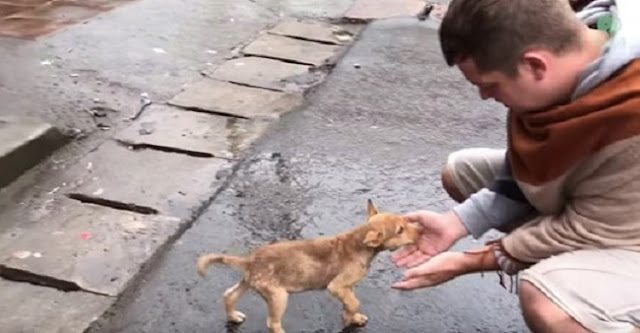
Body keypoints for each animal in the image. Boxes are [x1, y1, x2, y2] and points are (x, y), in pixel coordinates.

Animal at [198, 200, 422, 332]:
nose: (420, 232)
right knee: (272, 323)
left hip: (248, 282)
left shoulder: (347, 287)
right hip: (278, 296)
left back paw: (233, 316)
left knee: (229, 295)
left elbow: (350, 303)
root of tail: (251, 259)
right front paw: (350, 317)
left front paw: (352, 318)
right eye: (400, 230)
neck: (359, 243)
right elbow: (354, 302)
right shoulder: (337, 286)